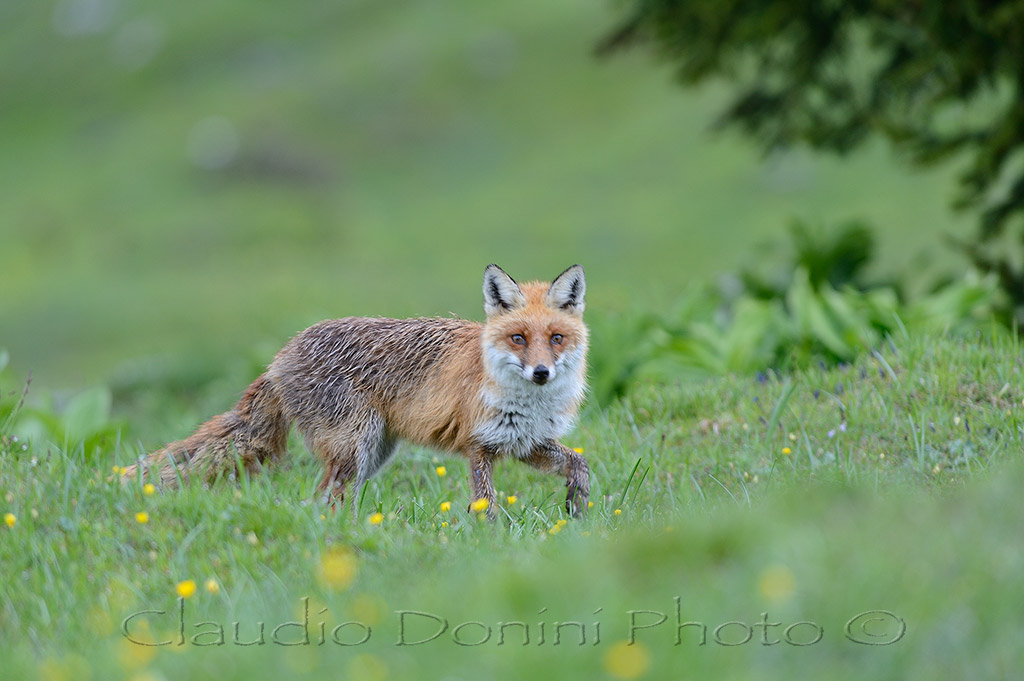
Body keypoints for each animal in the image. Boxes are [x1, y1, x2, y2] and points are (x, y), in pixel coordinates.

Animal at [123, 264, 591, 516]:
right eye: (518, 338)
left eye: (556, 338)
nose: (541, 373)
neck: (529, 402)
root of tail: (279, 356)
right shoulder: (479, 446)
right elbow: (487, 505)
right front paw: (488, 540)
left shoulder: (524, 442)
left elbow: (579, 465)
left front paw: (577, 509)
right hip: (355, 448)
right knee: (322, 500)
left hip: (373, 452)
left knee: (320, 502)